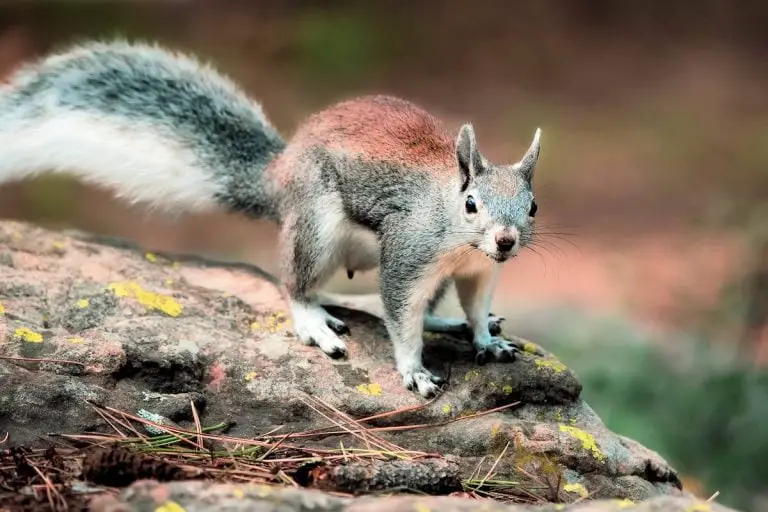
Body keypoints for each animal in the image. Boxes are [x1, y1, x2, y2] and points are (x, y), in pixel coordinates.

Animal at [0, 41, 544, 400]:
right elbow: (400, 312)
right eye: (471, 204)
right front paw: (413, 370)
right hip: (315, 225)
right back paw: (314, 320)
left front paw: (485, 338)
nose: (506, 240)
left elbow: (475, 306)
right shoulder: (409, 251)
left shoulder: (479, 272)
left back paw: (446, 320)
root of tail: (279, 177)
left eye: (533, 207)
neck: (459, 241)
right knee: (297, 285)